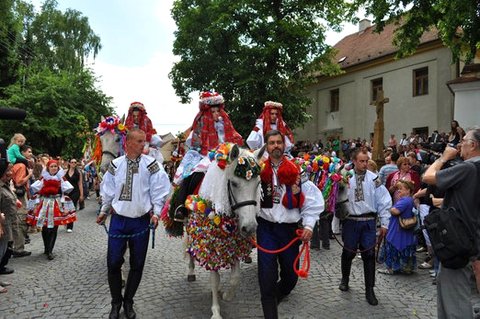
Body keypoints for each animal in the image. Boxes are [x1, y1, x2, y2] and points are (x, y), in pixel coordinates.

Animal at [181, 145, 264, 319]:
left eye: (258, 183)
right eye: (233, 183)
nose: (250, 227)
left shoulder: (235, 244)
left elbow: (235, 277)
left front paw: (227, 295)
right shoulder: (210, 245)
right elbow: (214, 279)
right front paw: (216, 311)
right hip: (189, 227)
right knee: (190, 250)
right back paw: (191, 271)